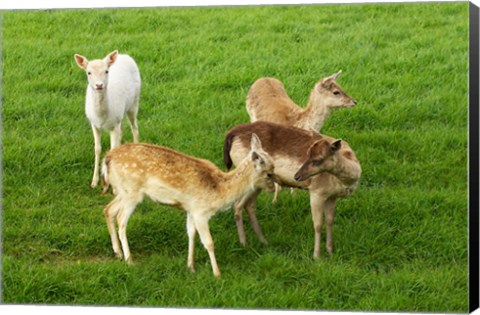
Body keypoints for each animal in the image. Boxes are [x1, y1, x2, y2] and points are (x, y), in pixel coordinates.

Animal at [73, 50, 141, 189]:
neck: (102, 117)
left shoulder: (114, 123)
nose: (99, 85)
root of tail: (125, 55)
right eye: (88, 72)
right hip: (121, 115)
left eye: (106, 71)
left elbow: (111, 149)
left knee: (134, 128)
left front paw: (110, 184)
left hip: (134, 102)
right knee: (122, 131)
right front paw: (94, 181)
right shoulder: (94, 124)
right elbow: (97, 149)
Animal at [100, 135, 274, 278]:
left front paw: (191, 267)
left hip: (123, 191)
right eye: (269, 173)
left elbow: (191, 234)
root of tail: (106, 160)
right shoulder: (200, 211)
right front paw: (217, 274)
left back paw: (118, 253)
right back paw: (129, 260)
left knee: (108, 210)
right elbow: (209, 242)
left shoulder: (191, 210)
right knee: (121, 219)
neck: (219, 190)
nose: (273, 187)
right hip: (132, 192)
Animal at [224, 121, 360, 260]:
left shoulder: (332, 196)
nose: (297, 176)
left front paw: (330, 251)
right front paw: (316, 256)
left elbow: (330, 220)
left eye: (318, 159)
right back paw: (244, 244)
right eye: (307, 153)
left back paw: (263, 241)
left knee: (248, 205)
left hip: (259, 184)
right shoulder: (317, 192)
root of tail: (231, 134)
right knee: (237, 205)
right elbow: (318, 224)